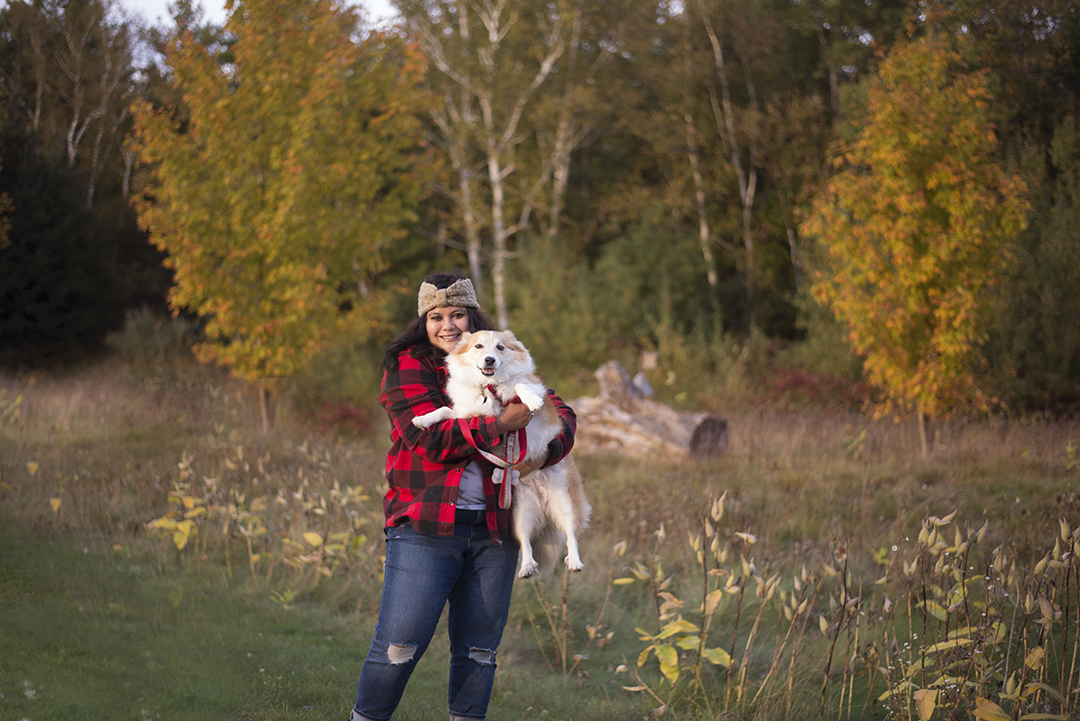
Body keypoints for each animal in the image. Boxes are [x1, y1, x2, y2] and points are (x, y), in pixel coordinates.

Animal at [410, 330, 591, 578]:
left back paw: (574, 561)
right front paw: (424, 419)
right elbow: (446, 410)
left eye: (500, 348)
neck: (489, 386)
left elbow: (519, 385)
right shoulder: (468, 416)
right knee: (525, 541)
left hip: (564, 502)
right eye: (478, 346)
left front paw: (530, 400)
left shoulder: (536, 390)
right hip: (519, 511)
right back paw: (526, 567)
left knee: (571, 534)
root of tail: (544, 504)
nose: (490, 360)